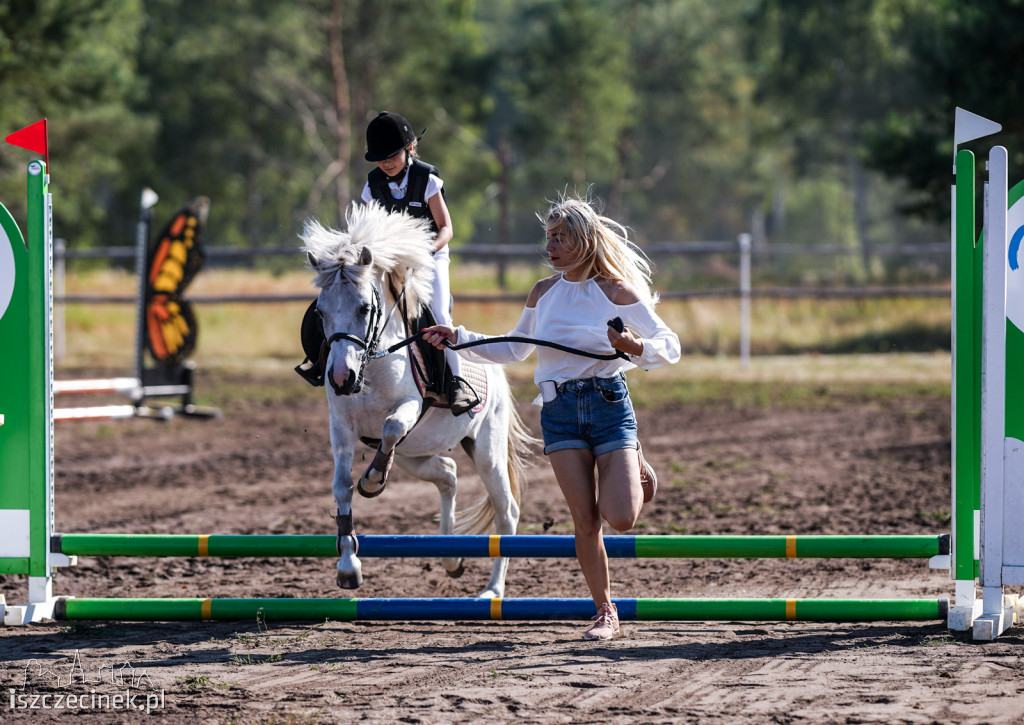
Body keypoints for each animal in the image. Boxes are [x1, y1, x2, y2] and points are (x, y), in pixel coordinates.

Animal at [299, 200, 532, 598]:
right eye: (321, 312)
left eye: (364, 308)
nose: (342, 378)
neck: (371, 362)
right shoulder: (341, 427)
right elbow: (342, 486)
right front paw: (348, 567)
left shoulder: (409, 407)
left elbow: (391, 426)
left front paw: (374, 479)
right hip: (416, 454)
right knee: (448, 475)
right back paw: (451, 559)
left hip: (486, 449)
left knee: (507, 512)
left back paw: (493, 590)